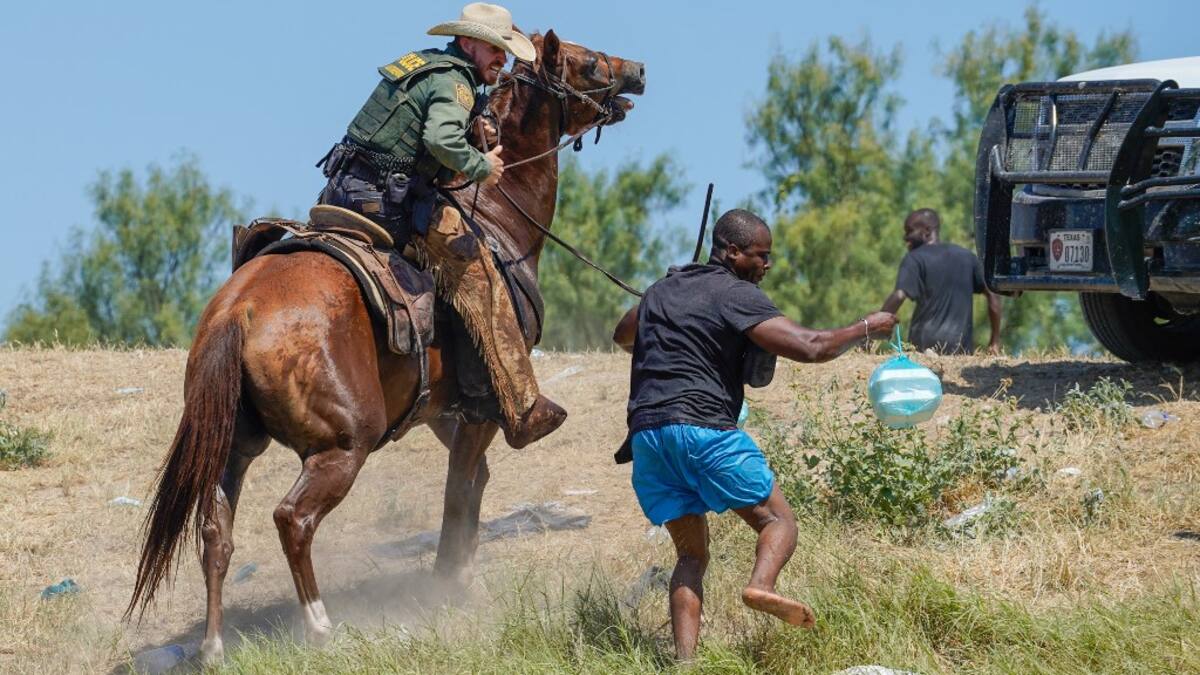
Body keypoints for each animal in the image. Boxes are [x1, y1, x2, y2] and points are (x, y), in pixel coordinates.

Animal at [125, 30, 646, 664]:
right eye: (588, 62)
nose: (638, 72)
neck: (499, 215)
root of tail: (239, 311)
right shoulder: (482, 409)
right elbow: (458, 492)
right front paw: (450, 584)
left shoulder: (444, 411)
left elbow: (473, 483)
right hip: (343, 445)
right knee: (292, 519)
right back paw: (320, 626)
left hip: (234, 445)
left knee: (215, 531)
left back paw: (214, 646)